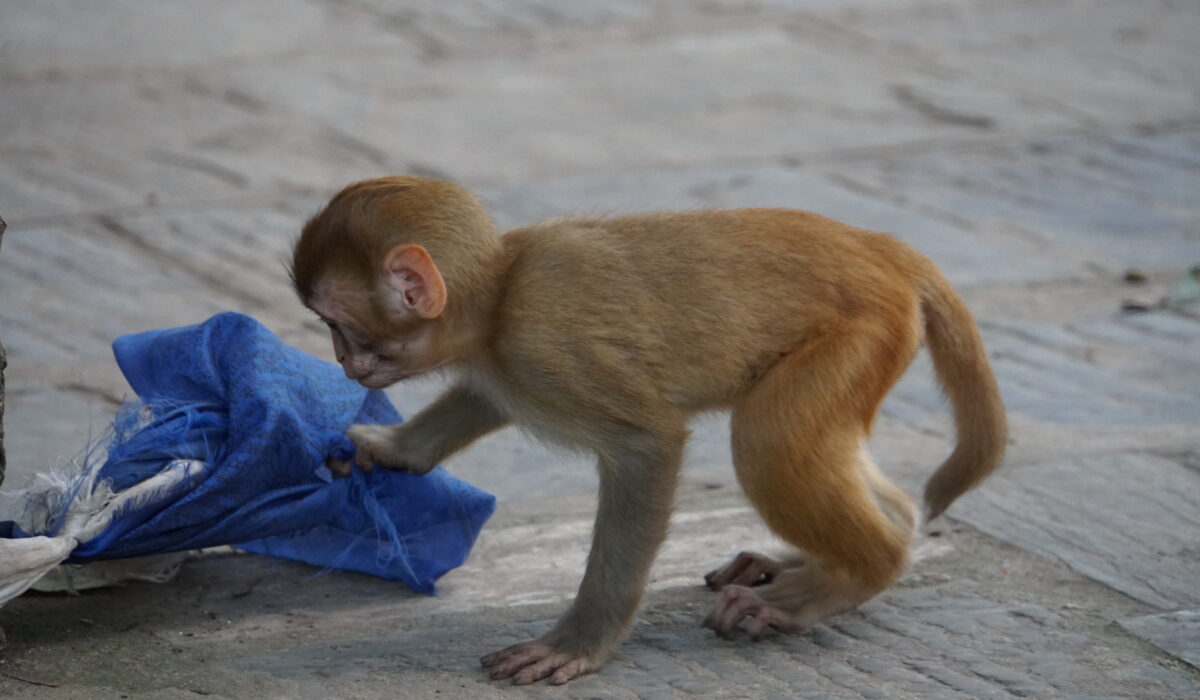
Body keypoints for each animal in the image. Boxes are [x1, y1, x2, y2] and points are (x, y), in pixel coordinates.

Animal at [289, 176, 1006, 685]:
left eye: (337, 324)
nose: (342, 360)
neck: (498, 298)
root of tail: (877, 247)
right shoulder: (503, 364)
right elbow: (484, 397)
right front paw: (393, 450)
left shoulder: (545, 348)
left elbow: (646, 445)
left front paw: (579, 642)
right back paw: (865, 540)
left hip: (863, 330)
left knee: (767, 439)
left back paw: (855, 573)